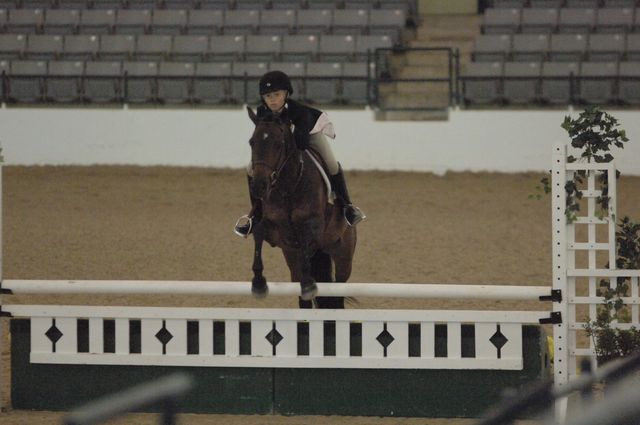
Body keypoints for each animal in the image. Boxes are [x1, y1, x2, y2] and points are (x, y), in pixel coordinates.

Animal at [245, 106, 357, 309]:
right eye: (252, 142)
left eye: (278, 144)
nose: (258, 186)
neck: (288, 187)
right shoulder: (273, 228)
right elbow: (258, 232)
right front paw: (258, 284)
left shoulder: (314, 225)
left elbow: (306, 242)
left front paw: (309, 285)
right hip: (290, 256)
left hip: (344, 255)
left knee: (338, 290)